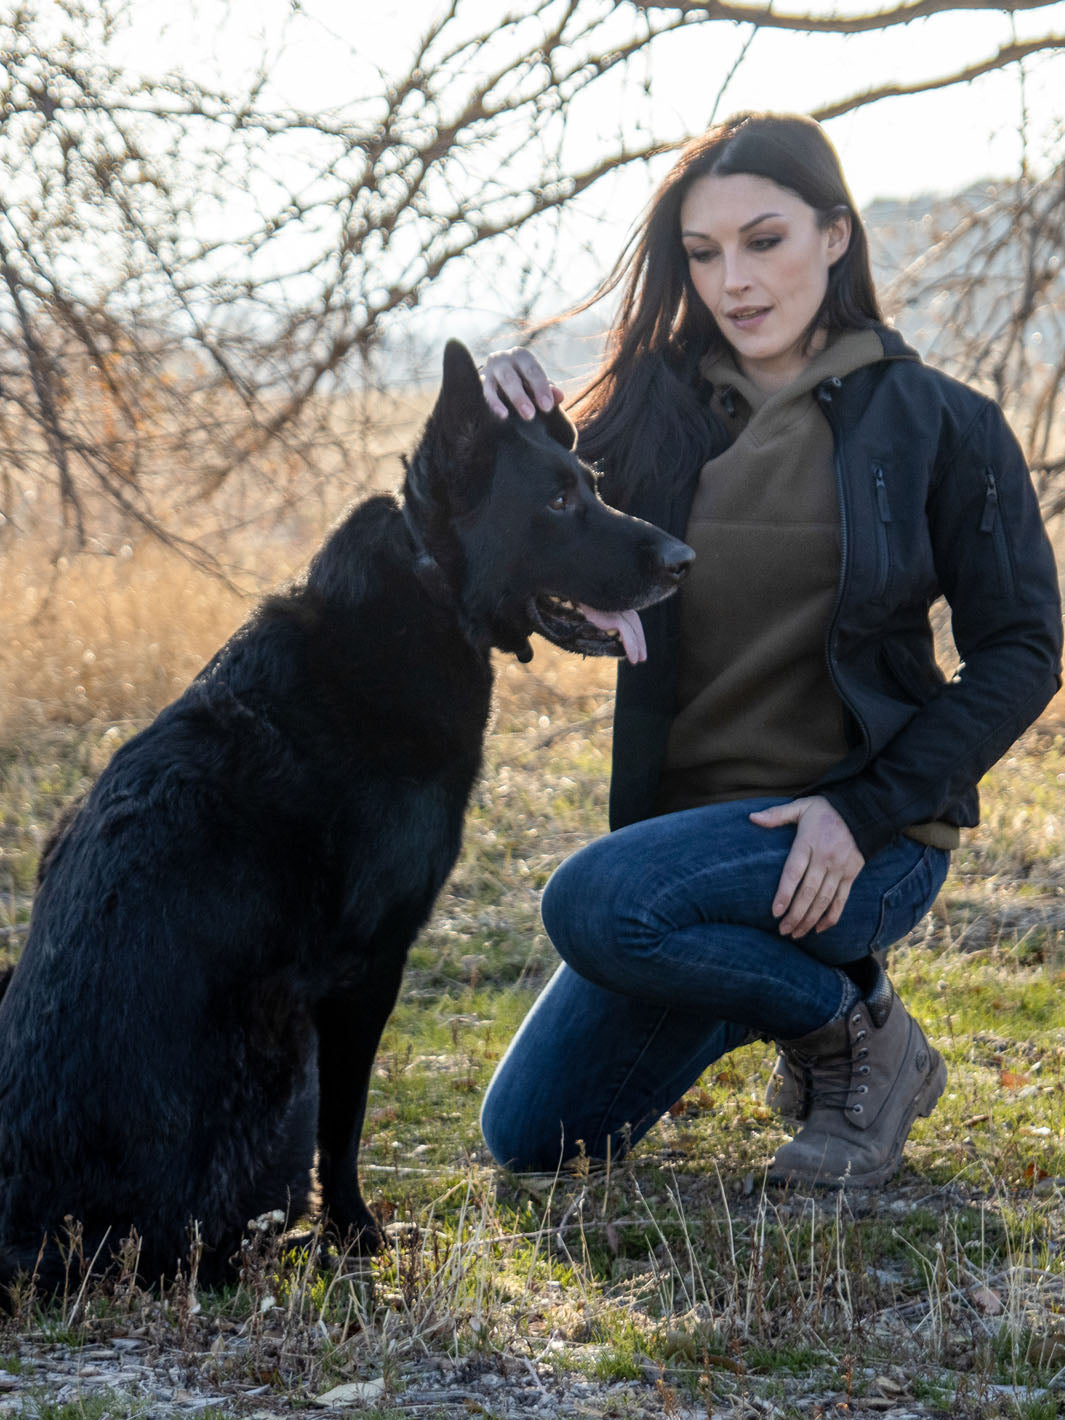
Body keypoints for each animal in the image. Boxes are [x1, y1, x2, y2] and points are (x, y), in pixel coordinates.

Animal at [0, 343, 692, 1300]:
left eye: (590, 483)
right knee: (218, 1239)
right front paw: (357, 1235)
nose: (683, 558)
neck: (431, 592)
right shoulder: (367, 970)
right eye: (556, 501)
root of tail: (39, 1241)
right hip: (282, 1070)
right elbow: (348, 1124)